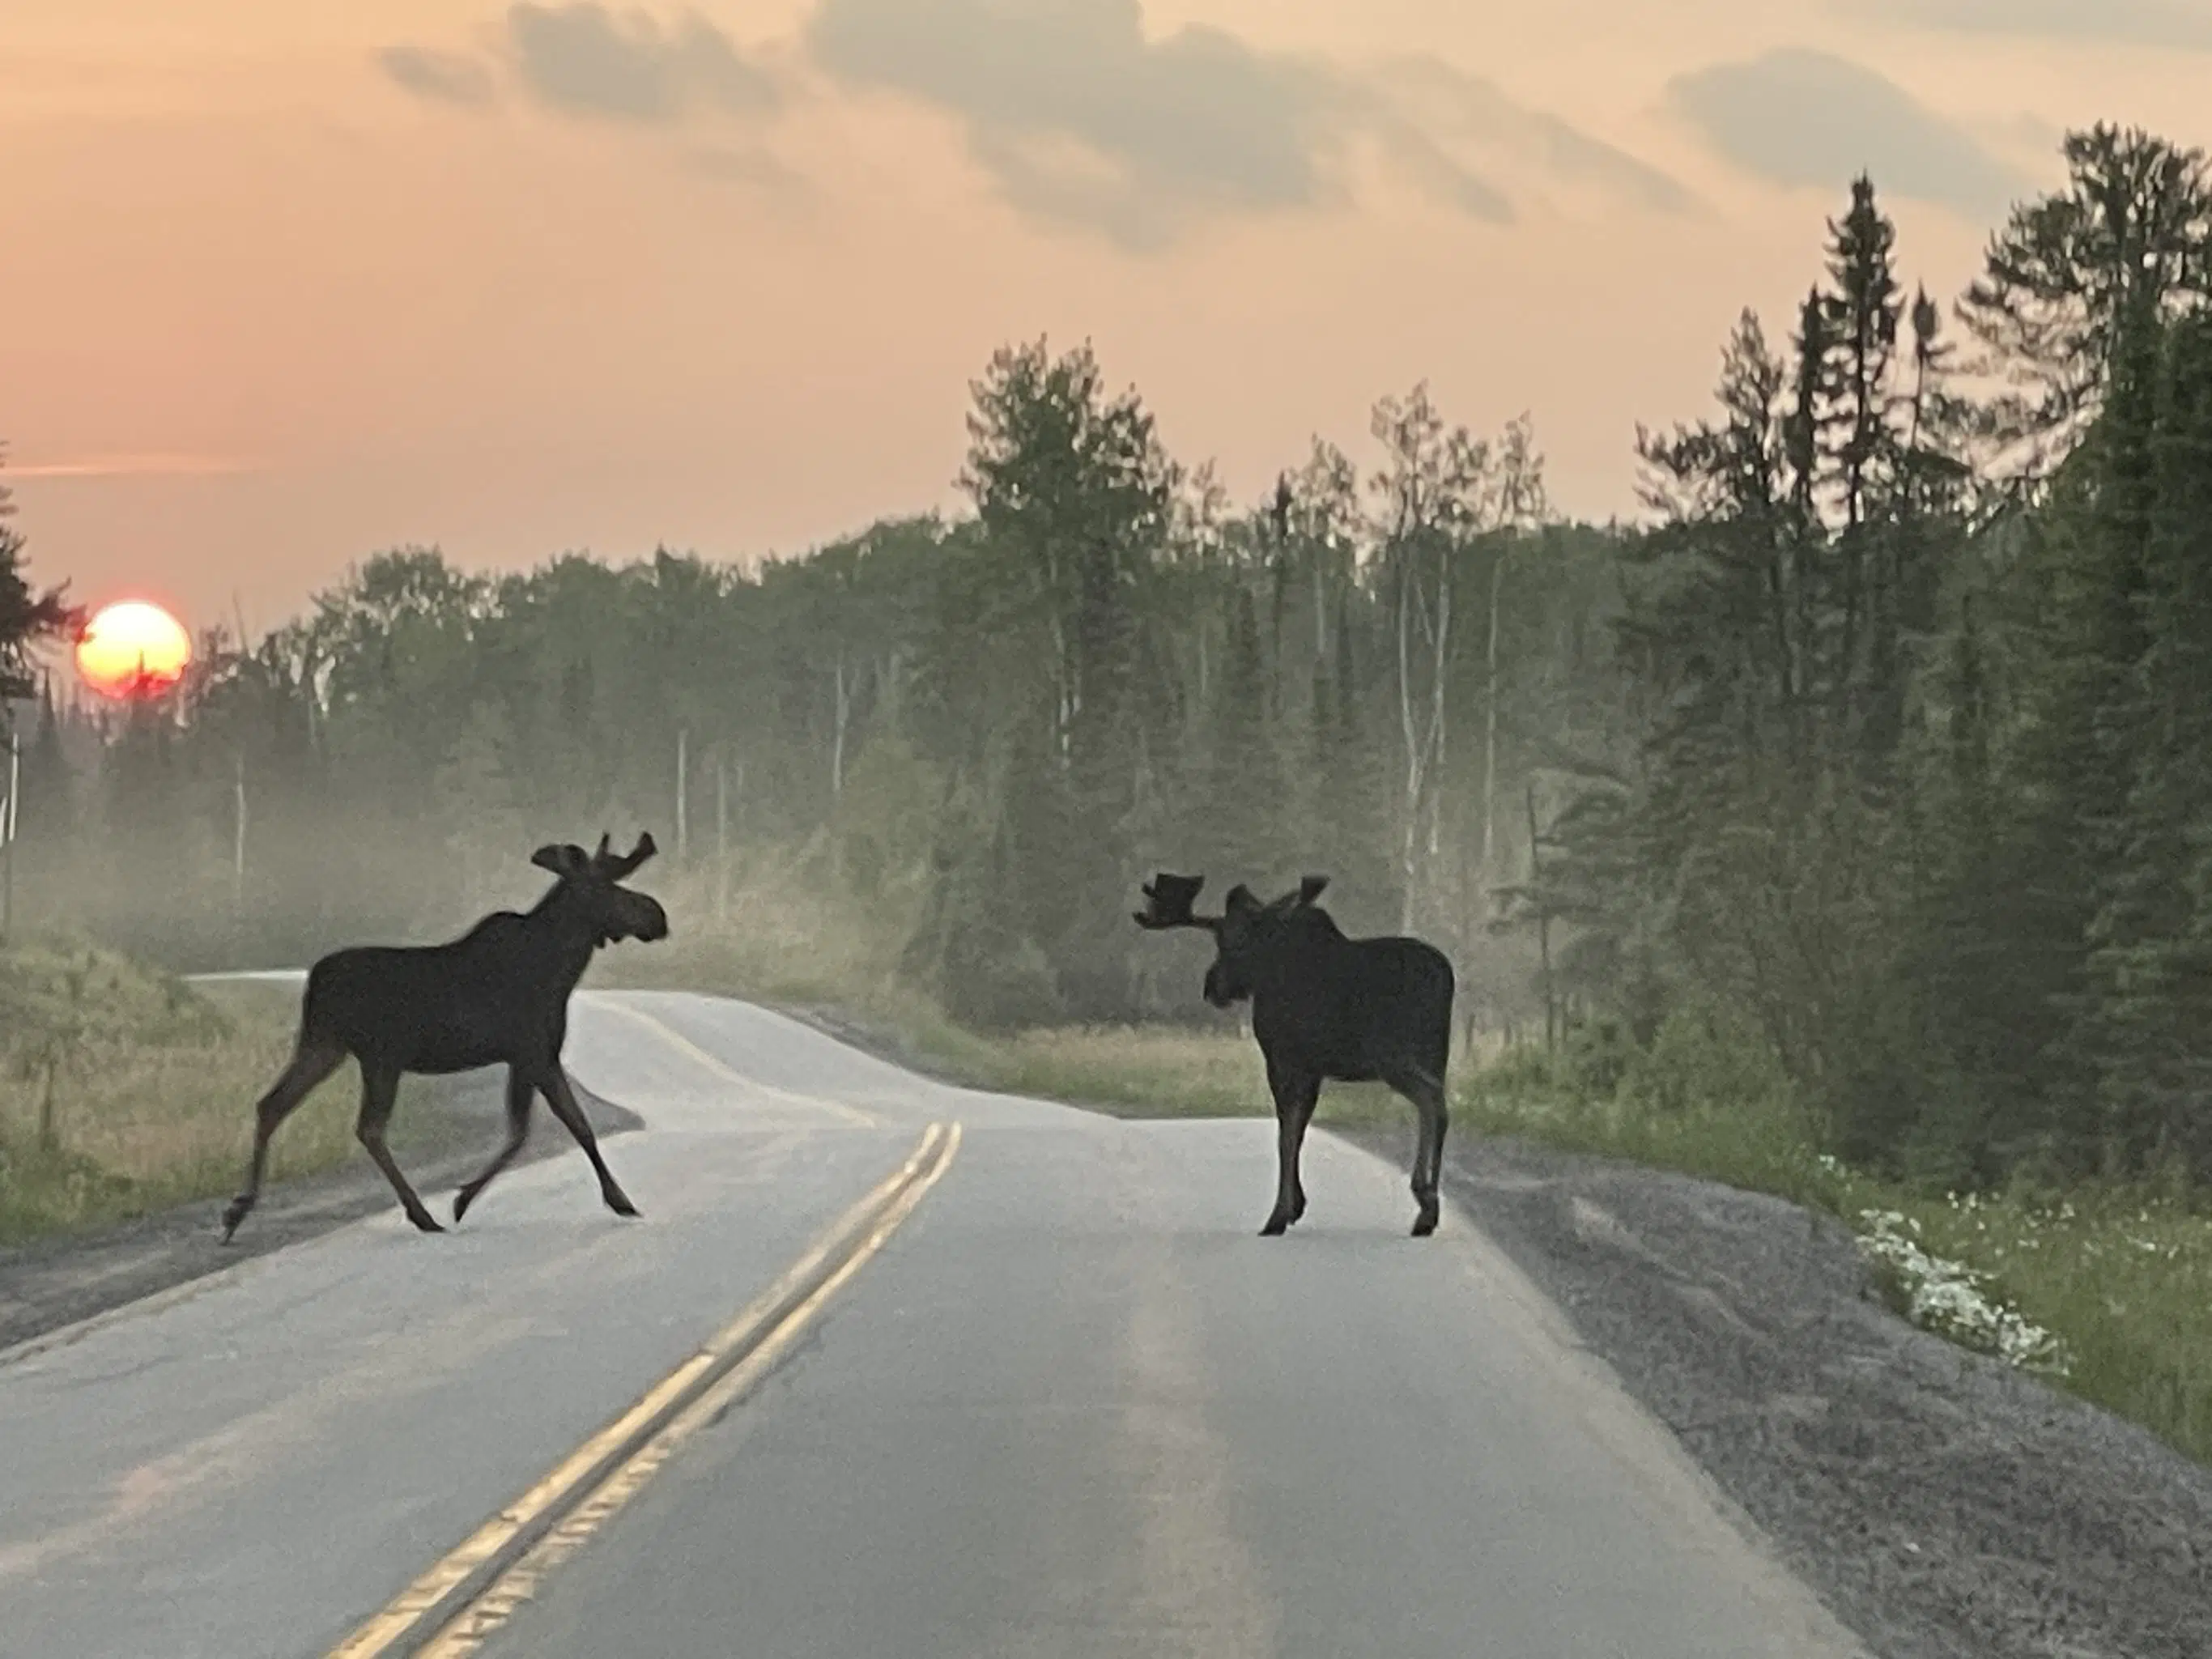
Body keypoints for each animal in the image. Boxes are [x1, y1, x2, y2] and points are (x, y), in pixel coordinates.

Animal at [223, 836, 672, 1238]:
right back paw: (421, 1214)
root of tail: (314, 982)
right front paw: (619, 1200)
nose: (658, 914)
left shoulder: (530, 1057)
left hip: (324, 1045)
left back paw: (238, 1210)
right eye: (608, 886)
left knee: (272, 1104)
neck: (562, 968)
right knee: (368, 1128)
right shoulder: (535, 1052)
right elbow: (556, 1128)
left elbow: (544, 1129)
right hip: (379, 1057)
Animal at [1141, 875, 1451, 1238]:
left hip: (1393, 1057)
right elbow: (1299, 1130)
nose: (1212, 986)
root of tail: (1446, 978)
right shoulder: (1312, 1070)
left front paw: (1279, 1213)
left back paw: (1425, 1200)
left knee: (1431, 1100)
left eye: (1231, 940)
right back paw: (1429, 1207)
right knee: (1439, 1105)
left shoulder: (1283, 1060)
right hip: (1434, 1056)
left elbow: (1285, 1134)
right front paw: (1295, 1206)